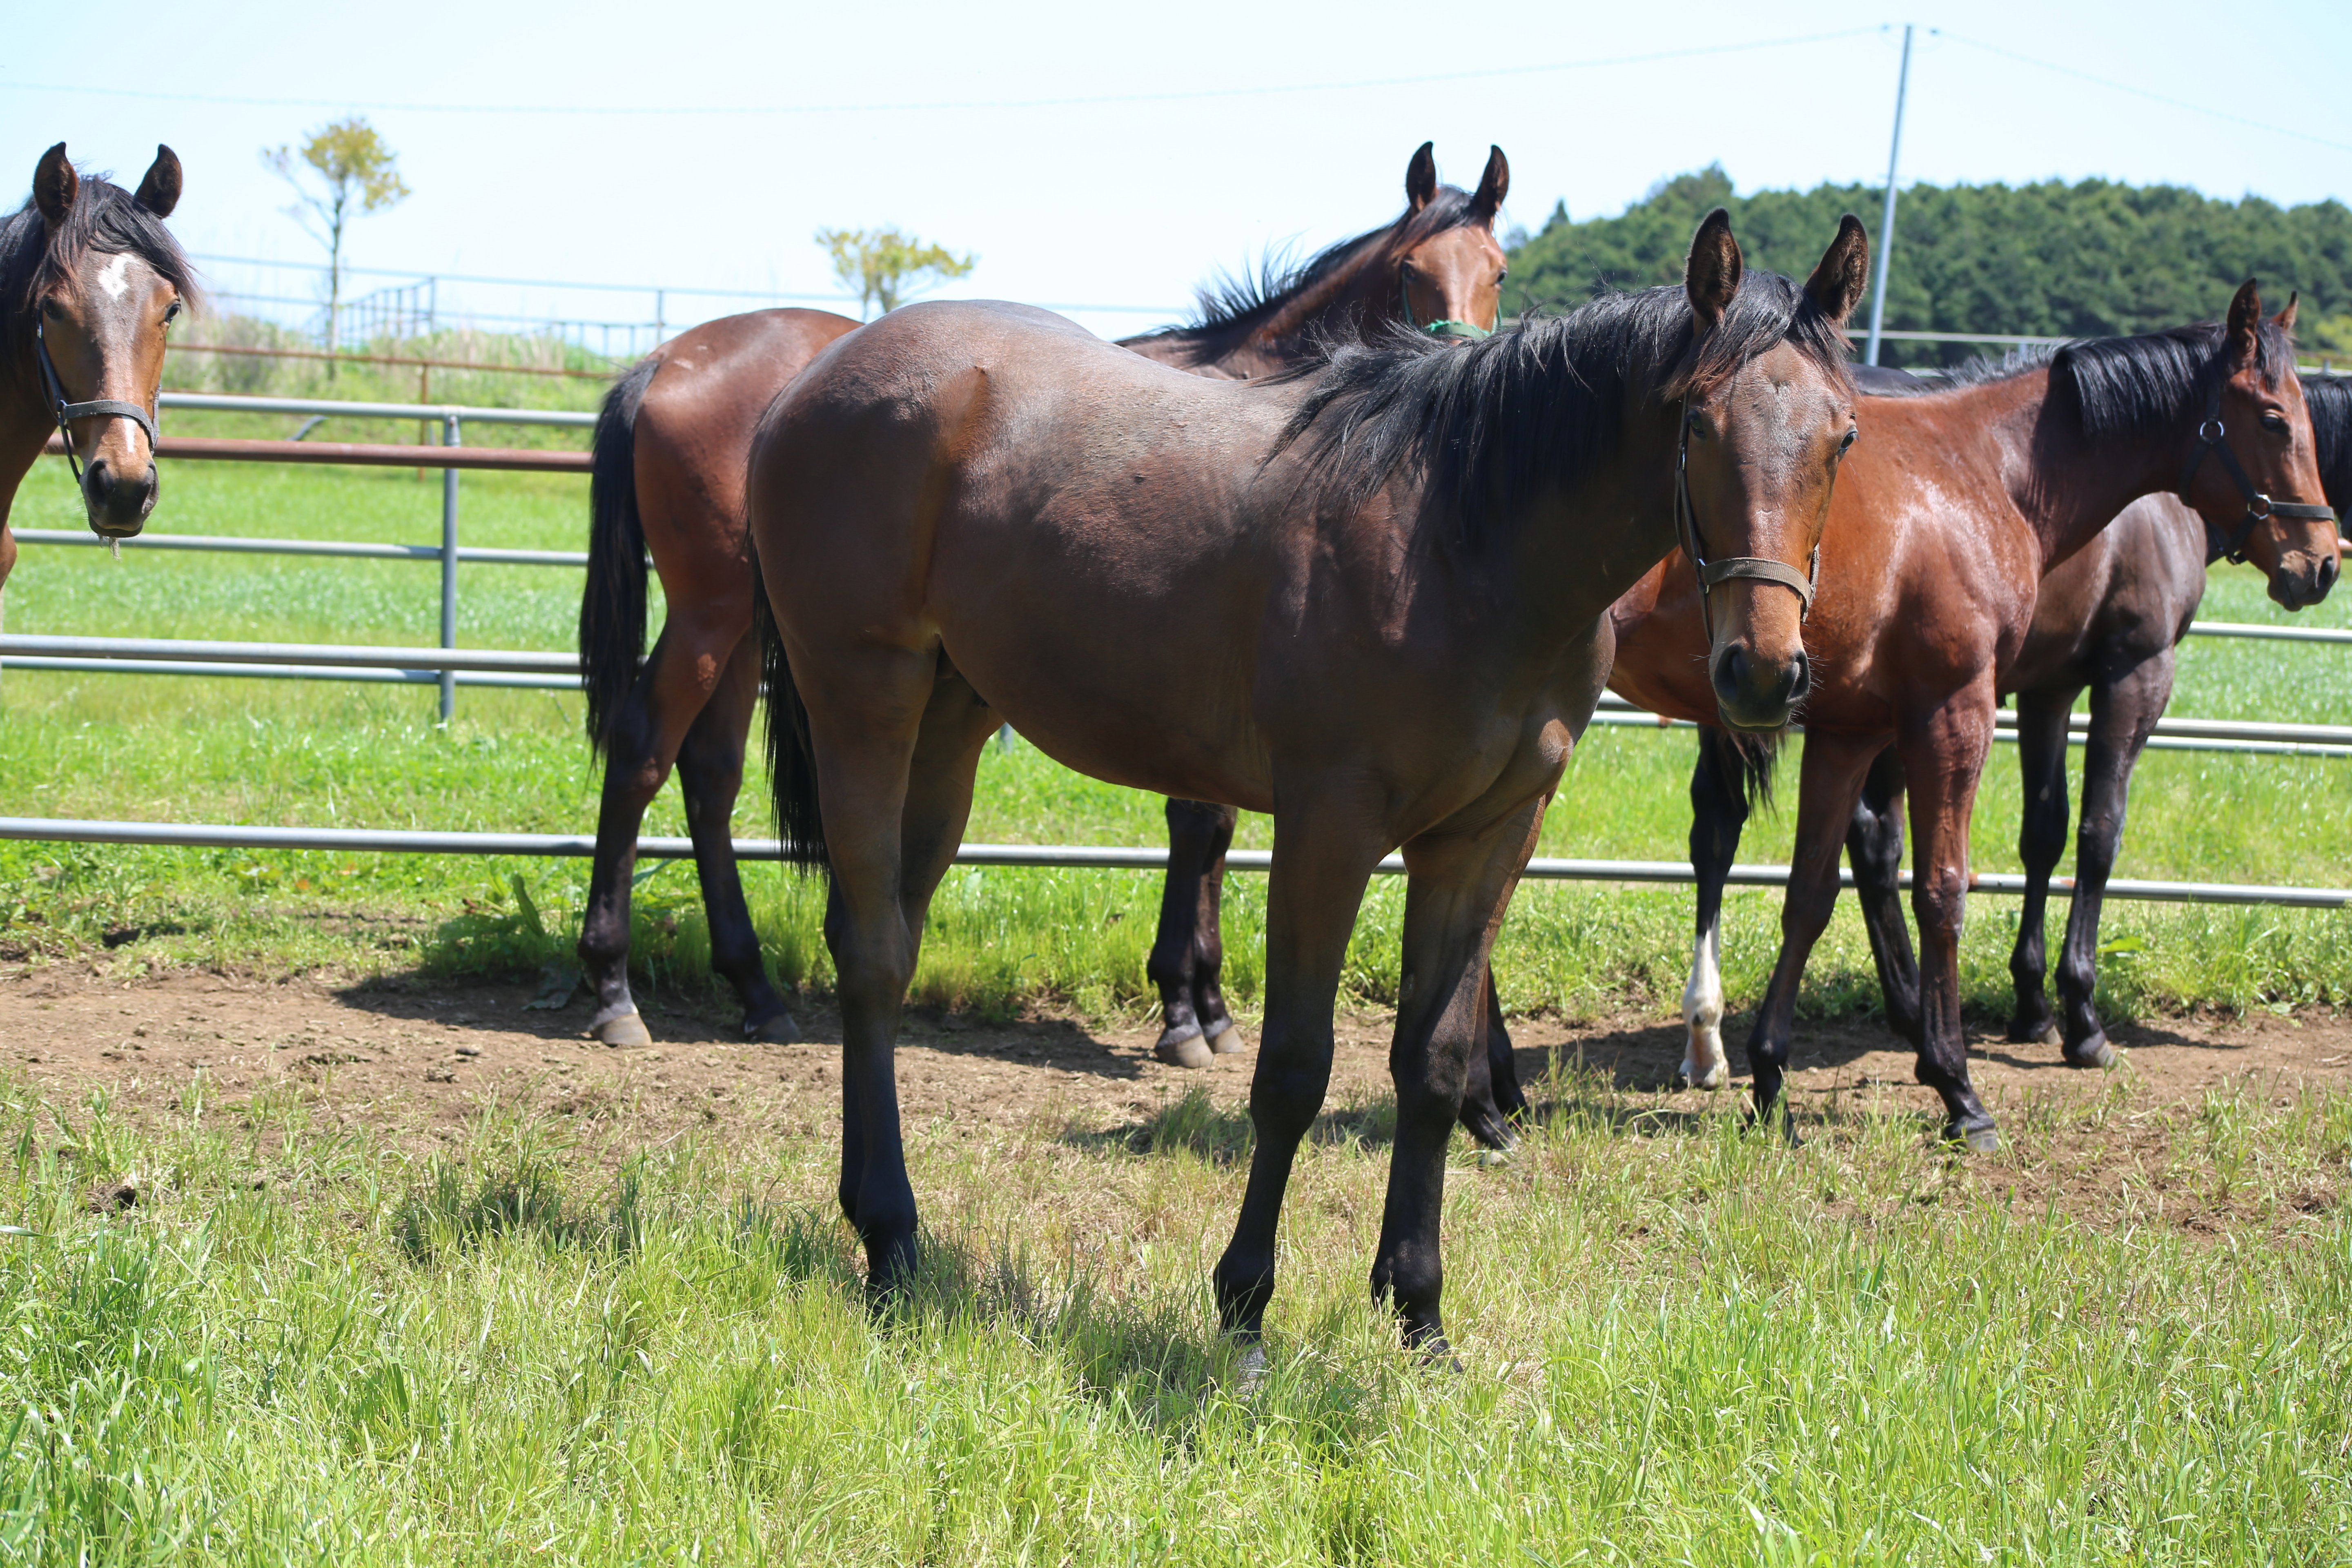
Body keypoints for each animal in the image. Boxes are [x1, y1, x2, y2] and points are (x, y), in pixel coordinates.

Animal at [743, 215, 1862, 1354]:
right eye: (1697, 419)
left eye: (1844, 435)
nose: (1763, 671)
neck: (1461, 540)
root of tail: (813, 379)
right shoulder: (1329, 826)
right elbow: (1292, 1068)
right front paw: (1242, 1306)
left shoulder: (1486, 836)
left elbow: (1433, 1063)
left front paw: (1418, 1309)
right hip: (862, 701)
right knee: (873, 952)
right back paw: (890, 1238)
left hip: (952, 719)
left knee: (888, 938)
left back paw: (884, 1228)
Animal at [1844, 362, 2342, 1067]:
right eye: (2279, 427)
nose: (2320, 566)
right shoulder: (2137, 675)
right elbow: (2099, 832)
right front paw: (2081, 1015)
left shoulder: (2048, 690)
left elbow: (2043, 834)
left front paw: (2032, 1004)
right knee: (1876, 842)